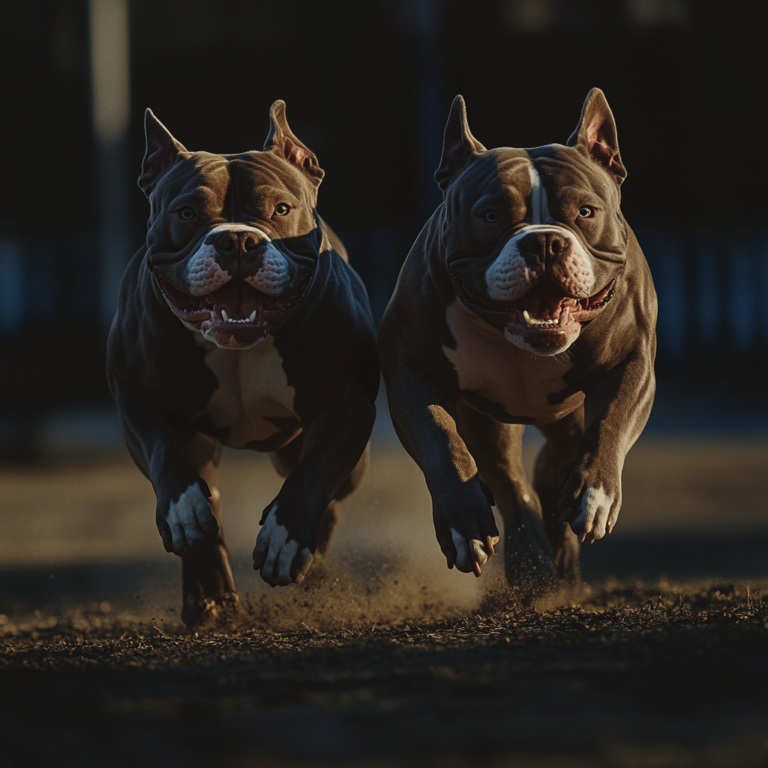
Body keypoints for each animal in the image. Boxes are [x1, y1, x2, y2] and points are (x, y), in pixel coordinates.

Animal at [109, 103, 380, 632]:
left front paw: (286, 539)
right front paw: (184, 514)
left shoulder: (347, 405)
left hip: (329, 458)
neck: (238, 347)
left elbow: (315, 474)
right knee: (206, 493)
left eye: (280, 210)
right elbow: (165, 457)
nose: (236, 240)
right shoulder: (133, 393)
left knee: (330, 490)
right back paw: (208, 594)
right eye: (187, 213)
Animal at [378, 91, 656, 592]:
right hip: (490, 419)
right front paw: (463, 522)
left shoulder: (632, 361)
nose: (544, 242)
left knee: (552, 462)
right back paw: (533, 563)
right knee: (510, 480)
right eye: (490, 216)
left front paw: (595, 494)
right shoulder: (411, 371)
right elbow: (441, 440)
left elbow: (612, 420)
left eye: (585, 212)